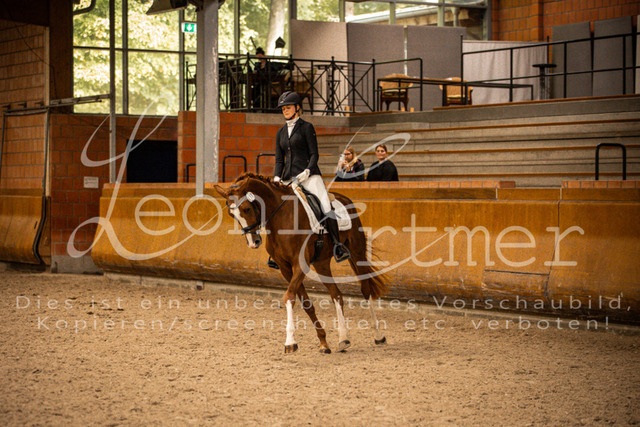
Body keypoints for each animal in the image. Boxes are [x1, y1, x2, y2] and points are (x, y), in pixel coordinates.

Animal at [214, 172, 389, 354]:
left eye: (247, 209)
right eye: (231, 214)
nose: (253, 242)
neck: (280, 217)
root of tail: (346, 199)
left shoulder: (300, 264)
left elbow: (289, 297)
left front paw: (290, 342)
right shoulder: (285, 268)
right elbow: (306, 303)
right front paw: (323, 343)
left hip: (356, 252)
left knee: (366, 290)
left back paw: (378, 336)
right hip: (321, 264)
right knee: (337, 295)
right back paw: (343, 339)